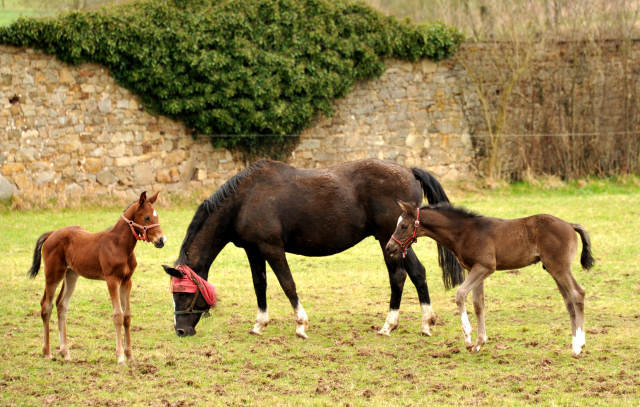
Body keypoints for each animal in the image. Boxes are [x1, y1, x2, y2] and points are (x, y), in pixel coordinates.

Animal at [27, 193, 168, 364]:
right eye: (147, 217)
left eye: (156, 216)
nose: (161, 240)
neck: (119, 245)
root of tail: (52, 233)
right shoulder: (112, 279)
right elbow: (118, 315)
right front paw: (120, 357)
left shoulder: (127, 281)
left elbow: (127, 316)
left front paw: (130, 355)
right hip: (53, 274)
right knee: (46, 306)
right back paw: (47, 353)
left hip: (71, 274)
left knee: (61, 305)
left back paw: (66, 353)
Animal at [162, 159, 462, 338]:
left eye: (184, 294)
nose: (180, 330)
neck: (246, 199)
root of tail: (408, 170)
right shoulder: (254, 251)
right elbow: (260, 285)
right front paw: (260, 324)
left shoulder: (272, 248)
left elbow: (287, 284)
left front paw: (301, 325)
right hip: (399, 242)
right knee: (418, 273)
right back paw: (425, 323)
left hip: (388, 241)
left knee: (398, 276)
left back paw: (389, 324)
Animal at [384, 202, 596, 358]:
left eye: (404, 226)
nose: (389, 247)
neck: (464, 232)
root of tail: (570, 225)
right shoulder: (476, 269)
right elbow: (479, 304)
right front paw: (479, 343)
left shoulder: (485, 267)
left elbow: (460, 294)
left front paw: (468, 339)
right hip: (554, 269)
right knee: (569, 300)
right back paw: (575, 344)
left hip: (558, 267)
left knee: (578, 294)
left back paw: (579, 346)